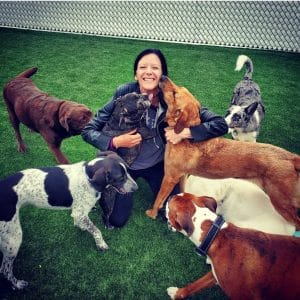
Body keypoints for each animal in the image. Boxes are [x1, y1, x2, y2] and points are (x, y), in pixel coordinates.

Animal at [146, 76, 300, 229]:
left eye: (174, 94)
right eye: (178, 89)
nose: (162, 77)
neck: (185, 137)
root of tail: (291, 157)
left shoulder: (169, 177)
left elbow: (159, 199)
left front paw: (152, 214)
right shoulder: (182, 175)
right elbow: (182, 192)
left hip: (282, 203)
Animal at [165, 193, 300, 298]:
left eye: (170, 204)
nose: (169, 196)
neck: (216, 234)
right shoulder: (215, 274)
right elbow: (196, 284)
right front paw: (178, 293)